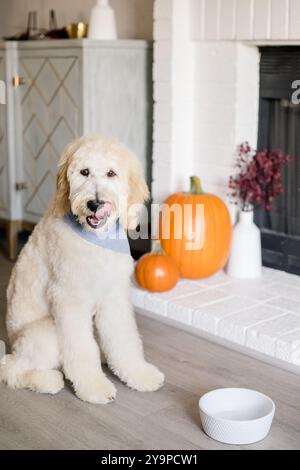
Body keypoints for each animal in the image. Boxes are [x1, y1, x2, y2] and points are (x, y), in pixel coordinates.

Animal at [0, 134, 164, 402]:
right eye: (84, 172)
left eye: (111, 173)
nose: (95, 203)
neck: (96, 240)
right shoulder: (69, 300)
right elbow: (80, 348)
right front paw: (94, 386)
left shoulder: (114, 297)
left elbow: (124, 338)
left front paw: (138, 374)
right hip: (45, 333)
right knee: (12, 368)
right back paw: (47, 380)